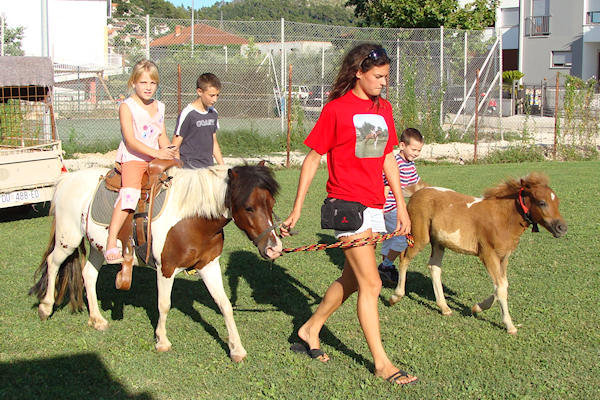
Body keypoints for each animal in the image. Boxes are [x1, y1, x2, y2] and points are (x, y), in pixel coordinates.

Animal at [29, 163, 282, 361]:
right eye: (249, 207)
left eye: (271, 203)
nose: (274, 248)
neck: (192, 219)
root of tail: (67, 179)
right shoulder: (166, 269)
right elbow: (164, 304)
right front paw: (162, 341)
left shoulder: (209, 266)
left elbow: (225, 305)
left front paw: (236, 348)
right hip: (68, 239)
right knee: (53, 264)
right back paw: (46, 307)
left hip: (98, 248)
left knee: (88, 275)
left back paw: (97, 319)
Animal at [389, 172, 567, 334]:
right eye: (542, 202)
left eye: (557, 202)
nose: (562, 228)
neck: (502, 218)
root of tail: (419, 191)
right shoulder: (487, 254)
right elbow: (500, 287)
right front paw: (510, 326)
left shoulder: (503, 257)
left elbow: (503, 284)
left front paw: (477, 308)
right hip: (420, 237)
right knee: (404, 258)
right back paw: (395, 297)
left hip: (439, 242)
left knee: (434, 267)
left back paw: (444, 307)